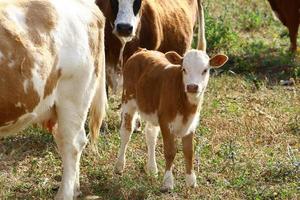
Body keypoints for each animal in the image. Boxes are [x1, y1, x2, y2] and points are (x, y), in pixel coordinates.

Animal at [113, 1, 229, 192]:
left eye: (205, 70)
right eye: (184, 69)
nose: (192, 86)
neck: (184, 103)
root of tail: (141, 51)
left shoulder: (190, 124)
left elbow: (189, 152)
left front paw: (191, 181)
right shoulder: (166, 121)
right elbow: (170, 151)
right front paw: (168, 182)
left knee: (150, 134)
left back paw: (152, 169)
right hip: (128, 100)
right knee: (126, 132)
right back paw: (119, 166)